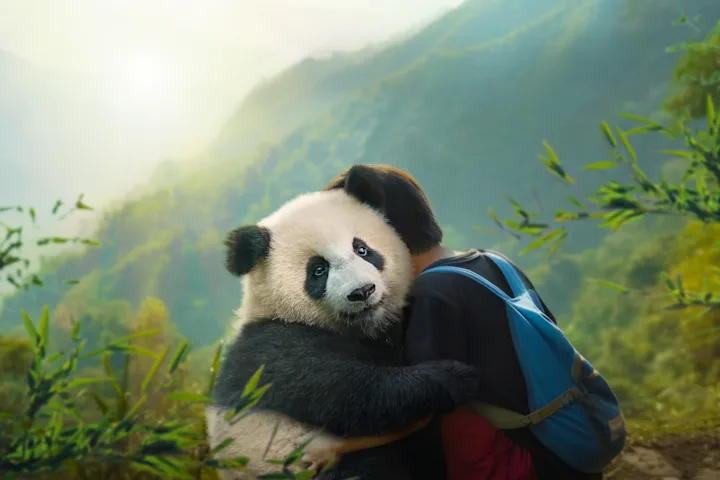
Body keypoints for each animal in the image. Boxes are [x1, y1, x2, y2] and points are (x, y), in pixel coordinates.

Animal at [205, 179, 482, 479]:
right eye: (318, 270)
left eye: (362, 249)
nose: (362, 291)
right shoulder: (273, 347)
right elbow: (347, 392)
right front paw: (452, 377)